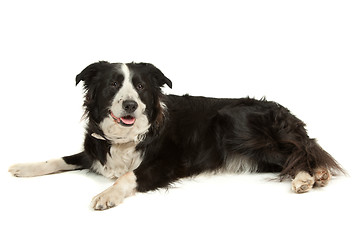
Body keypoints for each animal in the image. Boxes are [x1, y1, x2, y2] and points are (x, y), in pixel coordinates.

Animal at [9, 62, 344, 210]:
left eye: (141, 87)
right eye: (113, 85)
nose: (130, 104)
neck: (127, 136)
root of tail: (287, 113)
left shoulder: (166, 165)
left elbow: (127, 176)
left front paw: (107, 195)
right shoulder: (94, 150)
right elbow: (59, 159)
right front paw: (24, 167)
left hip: (236, 124)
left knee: (301, 152)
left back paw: (308, 177)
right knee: (301, 153)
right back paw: (316, 175)